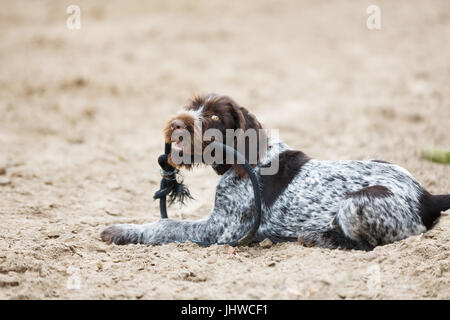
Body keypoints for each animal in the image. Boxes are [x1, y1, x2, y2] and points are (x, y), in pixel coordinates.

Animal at [100, 94, 448, 251]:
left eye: (213, 116)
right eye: (192, 106)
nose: (174, 124)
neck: (244, 162)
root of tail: (427, 195)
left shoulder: (221, 230)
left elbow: (168, 226)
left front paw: (123, 231)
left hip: (356, 202)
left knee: (369, 244)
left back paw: (320, 237)